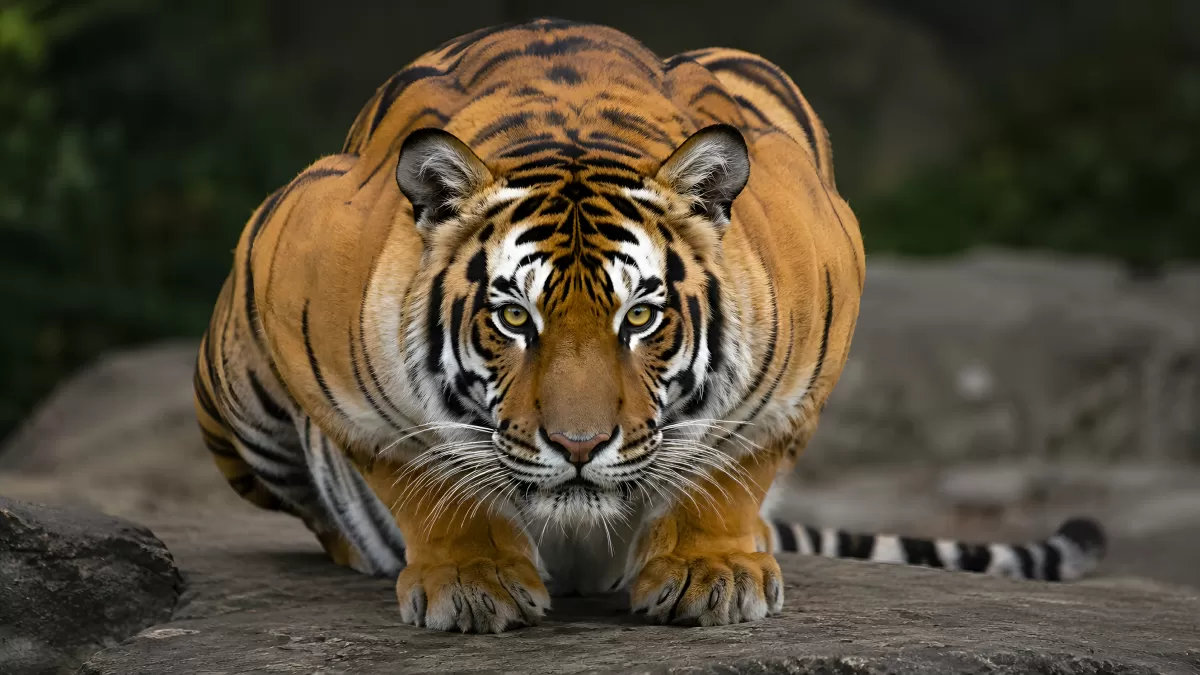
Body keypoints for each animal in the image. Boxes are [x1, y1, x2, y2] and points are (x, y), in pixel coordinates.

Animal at [193, 19, 1106, 633]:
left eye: (641, 316)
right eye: (513, 317)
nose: (578, 446)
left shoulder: (811, 329)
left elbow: (734, 456)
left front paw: (715, 570)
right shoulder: (299, 271)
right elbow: (416, 465)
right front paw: (472, 576)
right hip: (237, 388)